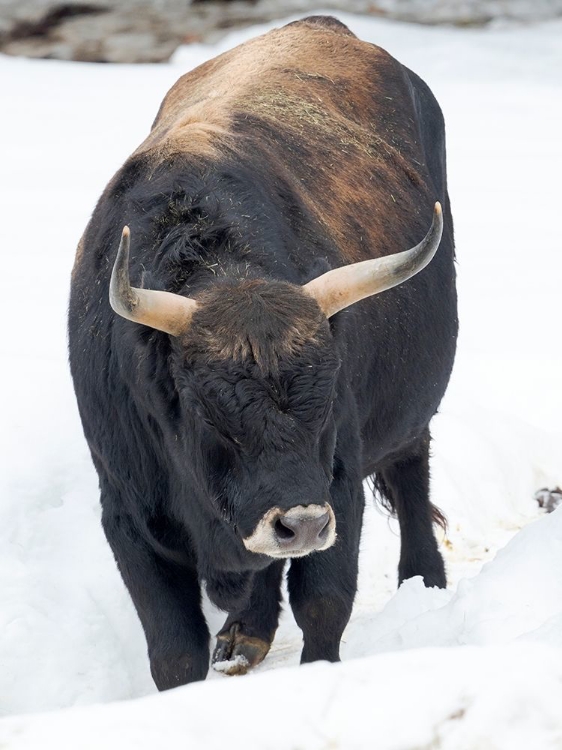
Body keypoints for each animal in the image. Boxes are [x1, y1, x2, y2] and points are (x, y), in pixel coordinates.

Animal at [69, 13, 456, 692]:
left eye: (327, 401)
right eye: (209, 411)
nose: (300, 523)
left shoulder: (338, 484)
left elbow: (325, 602)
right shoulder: (126, 511)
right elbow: (174, 649)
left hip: (411, 410)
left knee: (411, 476)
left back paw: (424, 581)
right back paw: (245, 633)